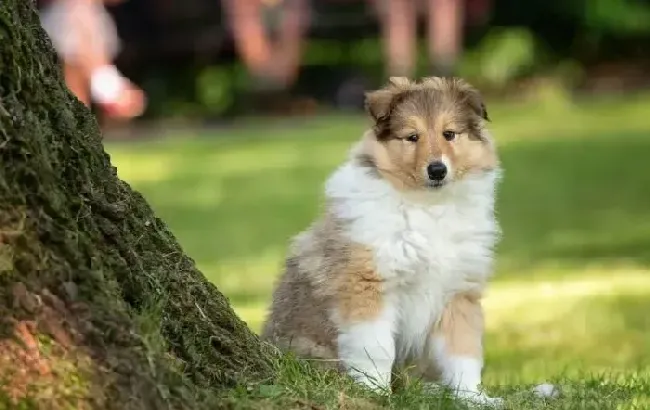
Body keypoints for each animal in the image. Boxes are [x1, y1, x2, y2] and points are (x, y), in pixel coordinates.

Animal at [260, 75, 504, 406]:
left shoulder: (458, 293)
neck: (428, 206)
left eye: (449, 134)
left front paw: (473, 399)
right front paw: (374, 392)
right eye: (412, 137)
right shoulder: (367, 286)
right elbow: (375, 348)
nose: (437, 170)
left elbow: (463, 352)